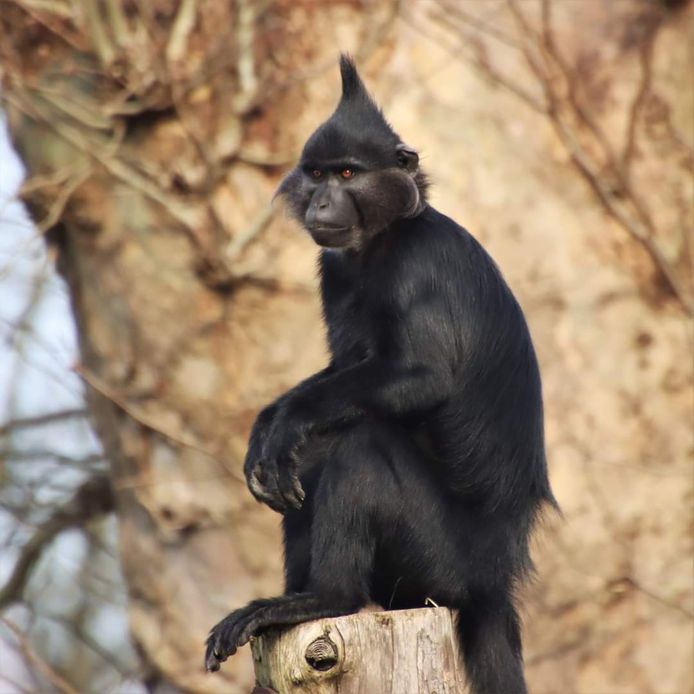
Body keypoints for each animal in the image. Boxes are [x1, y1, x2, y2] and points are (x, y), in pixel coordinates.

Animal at [204, 55, 556, 694]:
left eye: (348, 173)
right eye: (318, 175)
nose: (321, 204)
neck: (386, 236)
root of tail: (496, 581)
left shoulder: (418, 262)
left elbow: (422, 377)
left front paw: (283, 421)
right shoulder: (335, 269)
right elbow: (339, 375)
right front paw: (266, 427)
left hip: (443, 565)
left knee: (360, 445)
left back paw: (324, 598)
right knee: (317, 452)